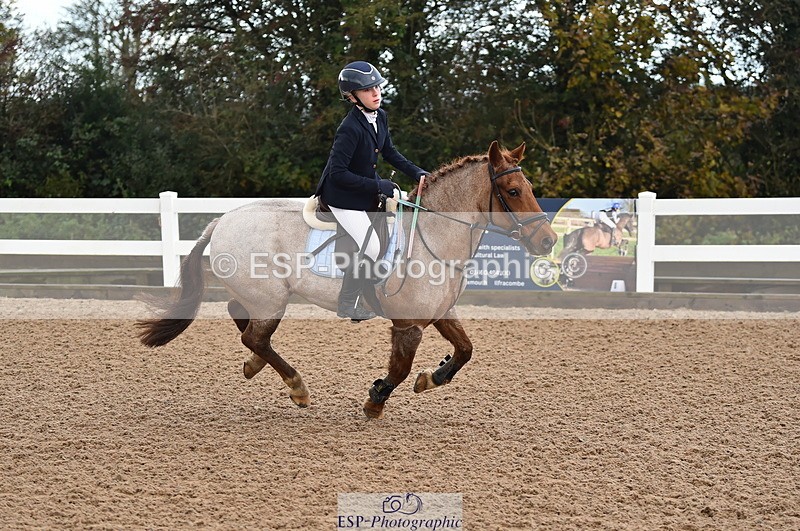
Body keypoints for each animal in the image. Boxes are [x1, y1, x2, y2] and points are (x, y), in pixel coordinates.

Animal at [136, 141, 557, 419]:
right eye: (513, 191)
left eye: (529, 189)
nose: (548, 240)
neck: (434, 236)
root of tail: (220, 221)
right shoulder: (408, 325)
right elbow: (399, 369)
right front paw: (376, 399)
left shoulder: (441, 313)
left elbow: (466, 350)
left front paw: (431, 378)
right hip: (271, 299)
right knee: (254, 335)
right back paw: (297, 387)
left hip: (264, 296)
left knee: (241, 317)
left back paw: (255, 366)